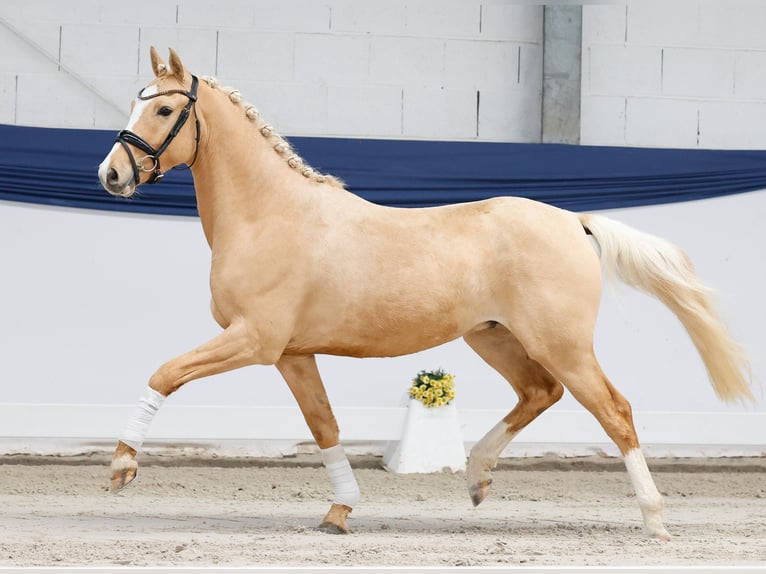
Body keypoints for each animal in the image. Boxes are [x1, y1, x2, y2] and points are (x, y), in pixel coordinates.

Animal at [98, 47, 753, 539]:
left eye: (162, 107)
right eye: (135, 101)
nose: (111, 174)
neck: (270, 215)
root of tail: (573, 220)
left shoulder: (254, 341)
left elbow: (165, 372)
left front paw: (122, 466)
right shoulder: (291, 353)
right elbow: (324, 424)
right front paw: (339, 512)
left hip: (560, 342)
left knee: (614, 410)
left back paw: (654, 520)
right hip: (495, 339)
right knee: (540, 393)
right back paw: (477, 479)